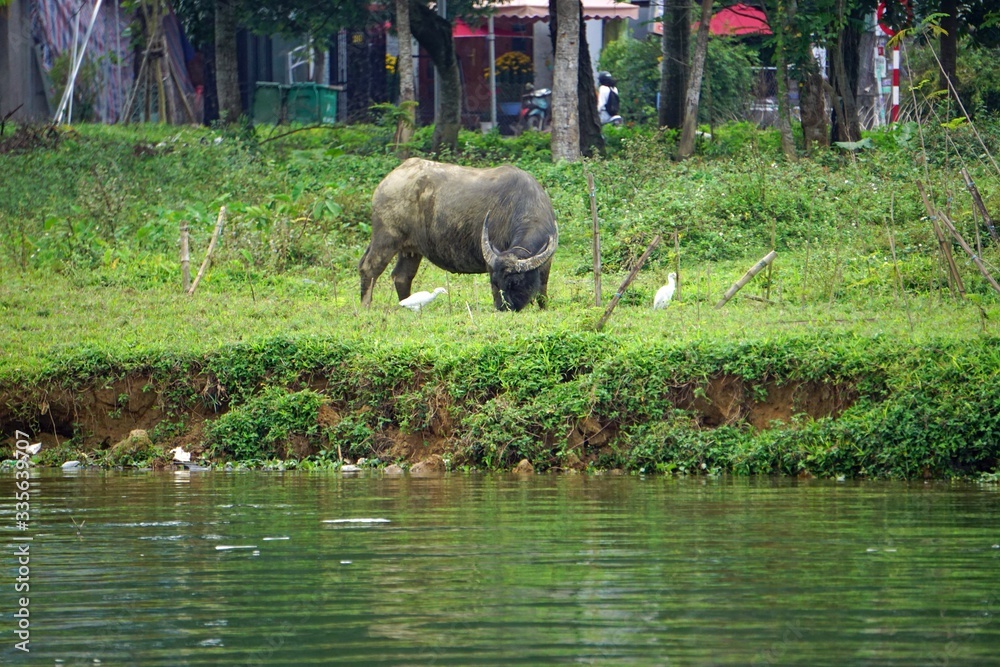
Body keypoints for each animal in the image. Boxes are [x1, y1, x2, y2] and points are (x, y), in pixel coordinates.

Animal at [360, 158, 558, 312]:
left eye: (514, 282)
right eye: (495, 282)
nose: (504, 307)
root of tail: (387, 182)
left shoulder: (547, 263)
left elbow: (543, 289)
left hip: (411, 250)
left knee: (402, 276)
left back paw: (407, 304)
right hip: (386, 238)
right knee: (369, 268)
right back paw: (366, 306)